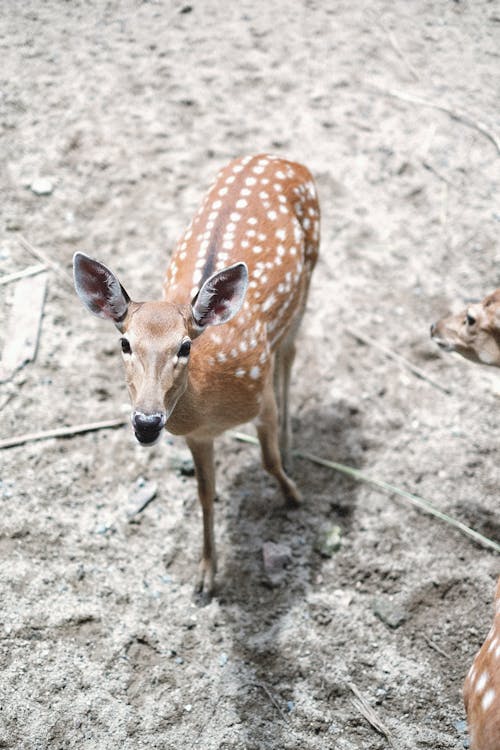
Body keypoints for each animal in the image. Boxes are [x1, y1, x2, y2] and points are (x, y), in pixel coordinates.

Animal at [73, 154, 320, 600]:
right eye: (125, 343)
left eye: (185, 346)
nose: (147, 422)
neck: (212, 403)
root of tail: (283, 158)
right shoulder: (196, 435)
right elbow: (205, 492)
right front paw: (205, 575)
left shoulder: (261, 395)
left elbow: (268, 459)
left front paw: (294, 496)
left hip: (309, 272)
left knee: (289, 354)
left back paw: (293, 443)